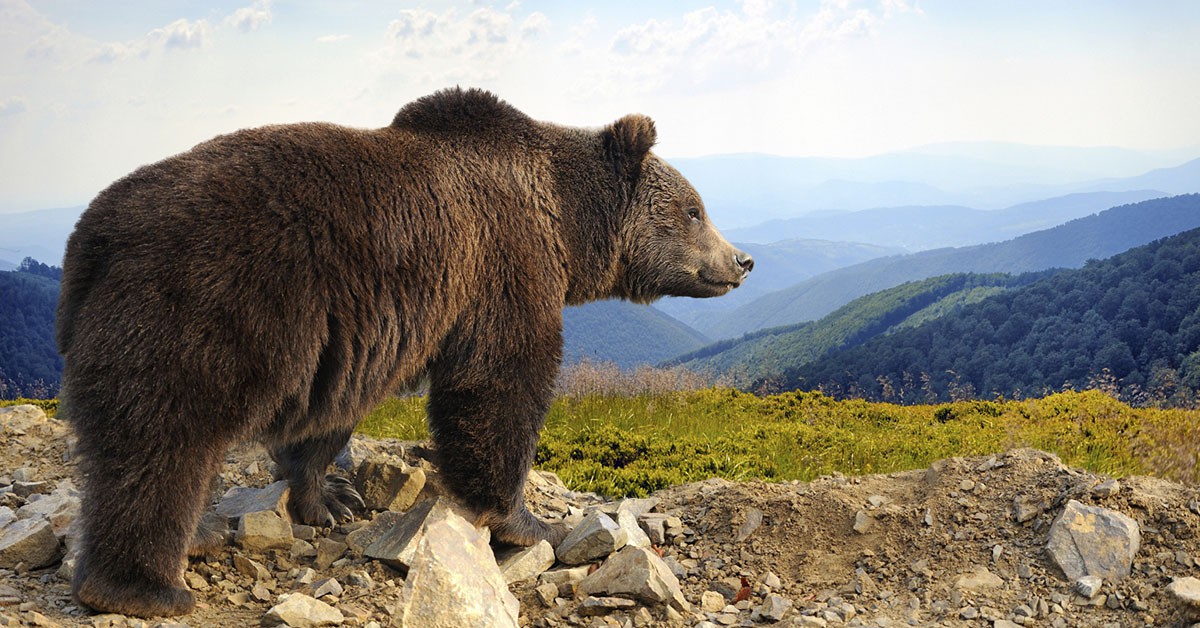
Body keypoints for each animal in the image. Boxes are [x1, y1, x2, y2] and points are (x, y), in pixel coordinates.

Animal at [57, 87, 753, 618]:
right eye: (694, 209)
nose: (741, 261)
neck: (564, 222)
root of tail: (94, 236)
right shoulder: (502, 265)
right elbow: (501, 384)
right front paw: (528, 521)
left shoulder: (354, 334)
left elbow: (331, 415)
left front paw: (331, 497)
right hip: (202, 306)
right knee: (162, 443)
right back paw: (146, 585)